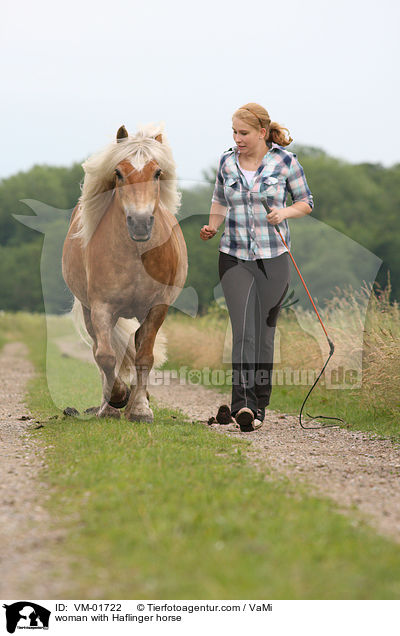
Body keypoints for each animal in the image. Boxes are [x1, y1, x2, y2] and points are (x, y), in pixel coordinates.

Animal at [62, 124, 188, 422]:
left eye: (157, 172)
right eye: (118, 173)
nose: (140, 223)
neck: (135, 254)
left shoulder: (157, 307)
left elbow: (144, 357)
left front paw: (140, 408)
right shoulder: (102, 307)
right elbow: (106, 356)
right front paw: (117, 399)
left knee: (136, 344)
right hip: (91, 311)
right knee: (101, 352)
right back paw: (108, 405)